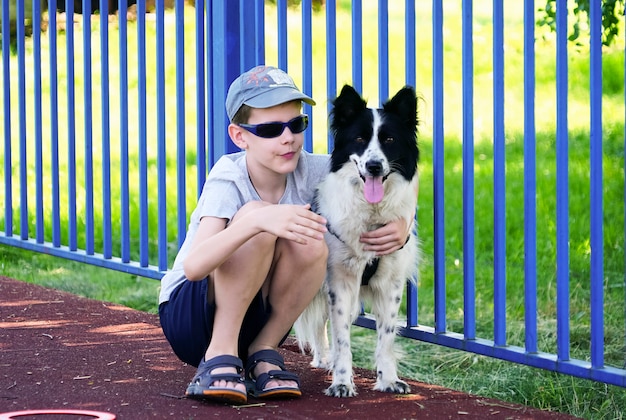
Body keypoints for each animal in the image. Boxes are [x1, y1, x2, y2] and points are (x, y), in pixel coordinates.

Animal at [292, 84, 420, 398]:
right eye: (359, 139)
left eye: (389, 140)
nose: (373, 166)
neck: (372, 214)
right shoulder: (341, 281)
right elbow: (342, 339)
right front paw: (341, 382)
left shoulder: (390, 284)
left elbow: (386, 336)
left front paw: (388, 379)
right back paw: (324, 359)